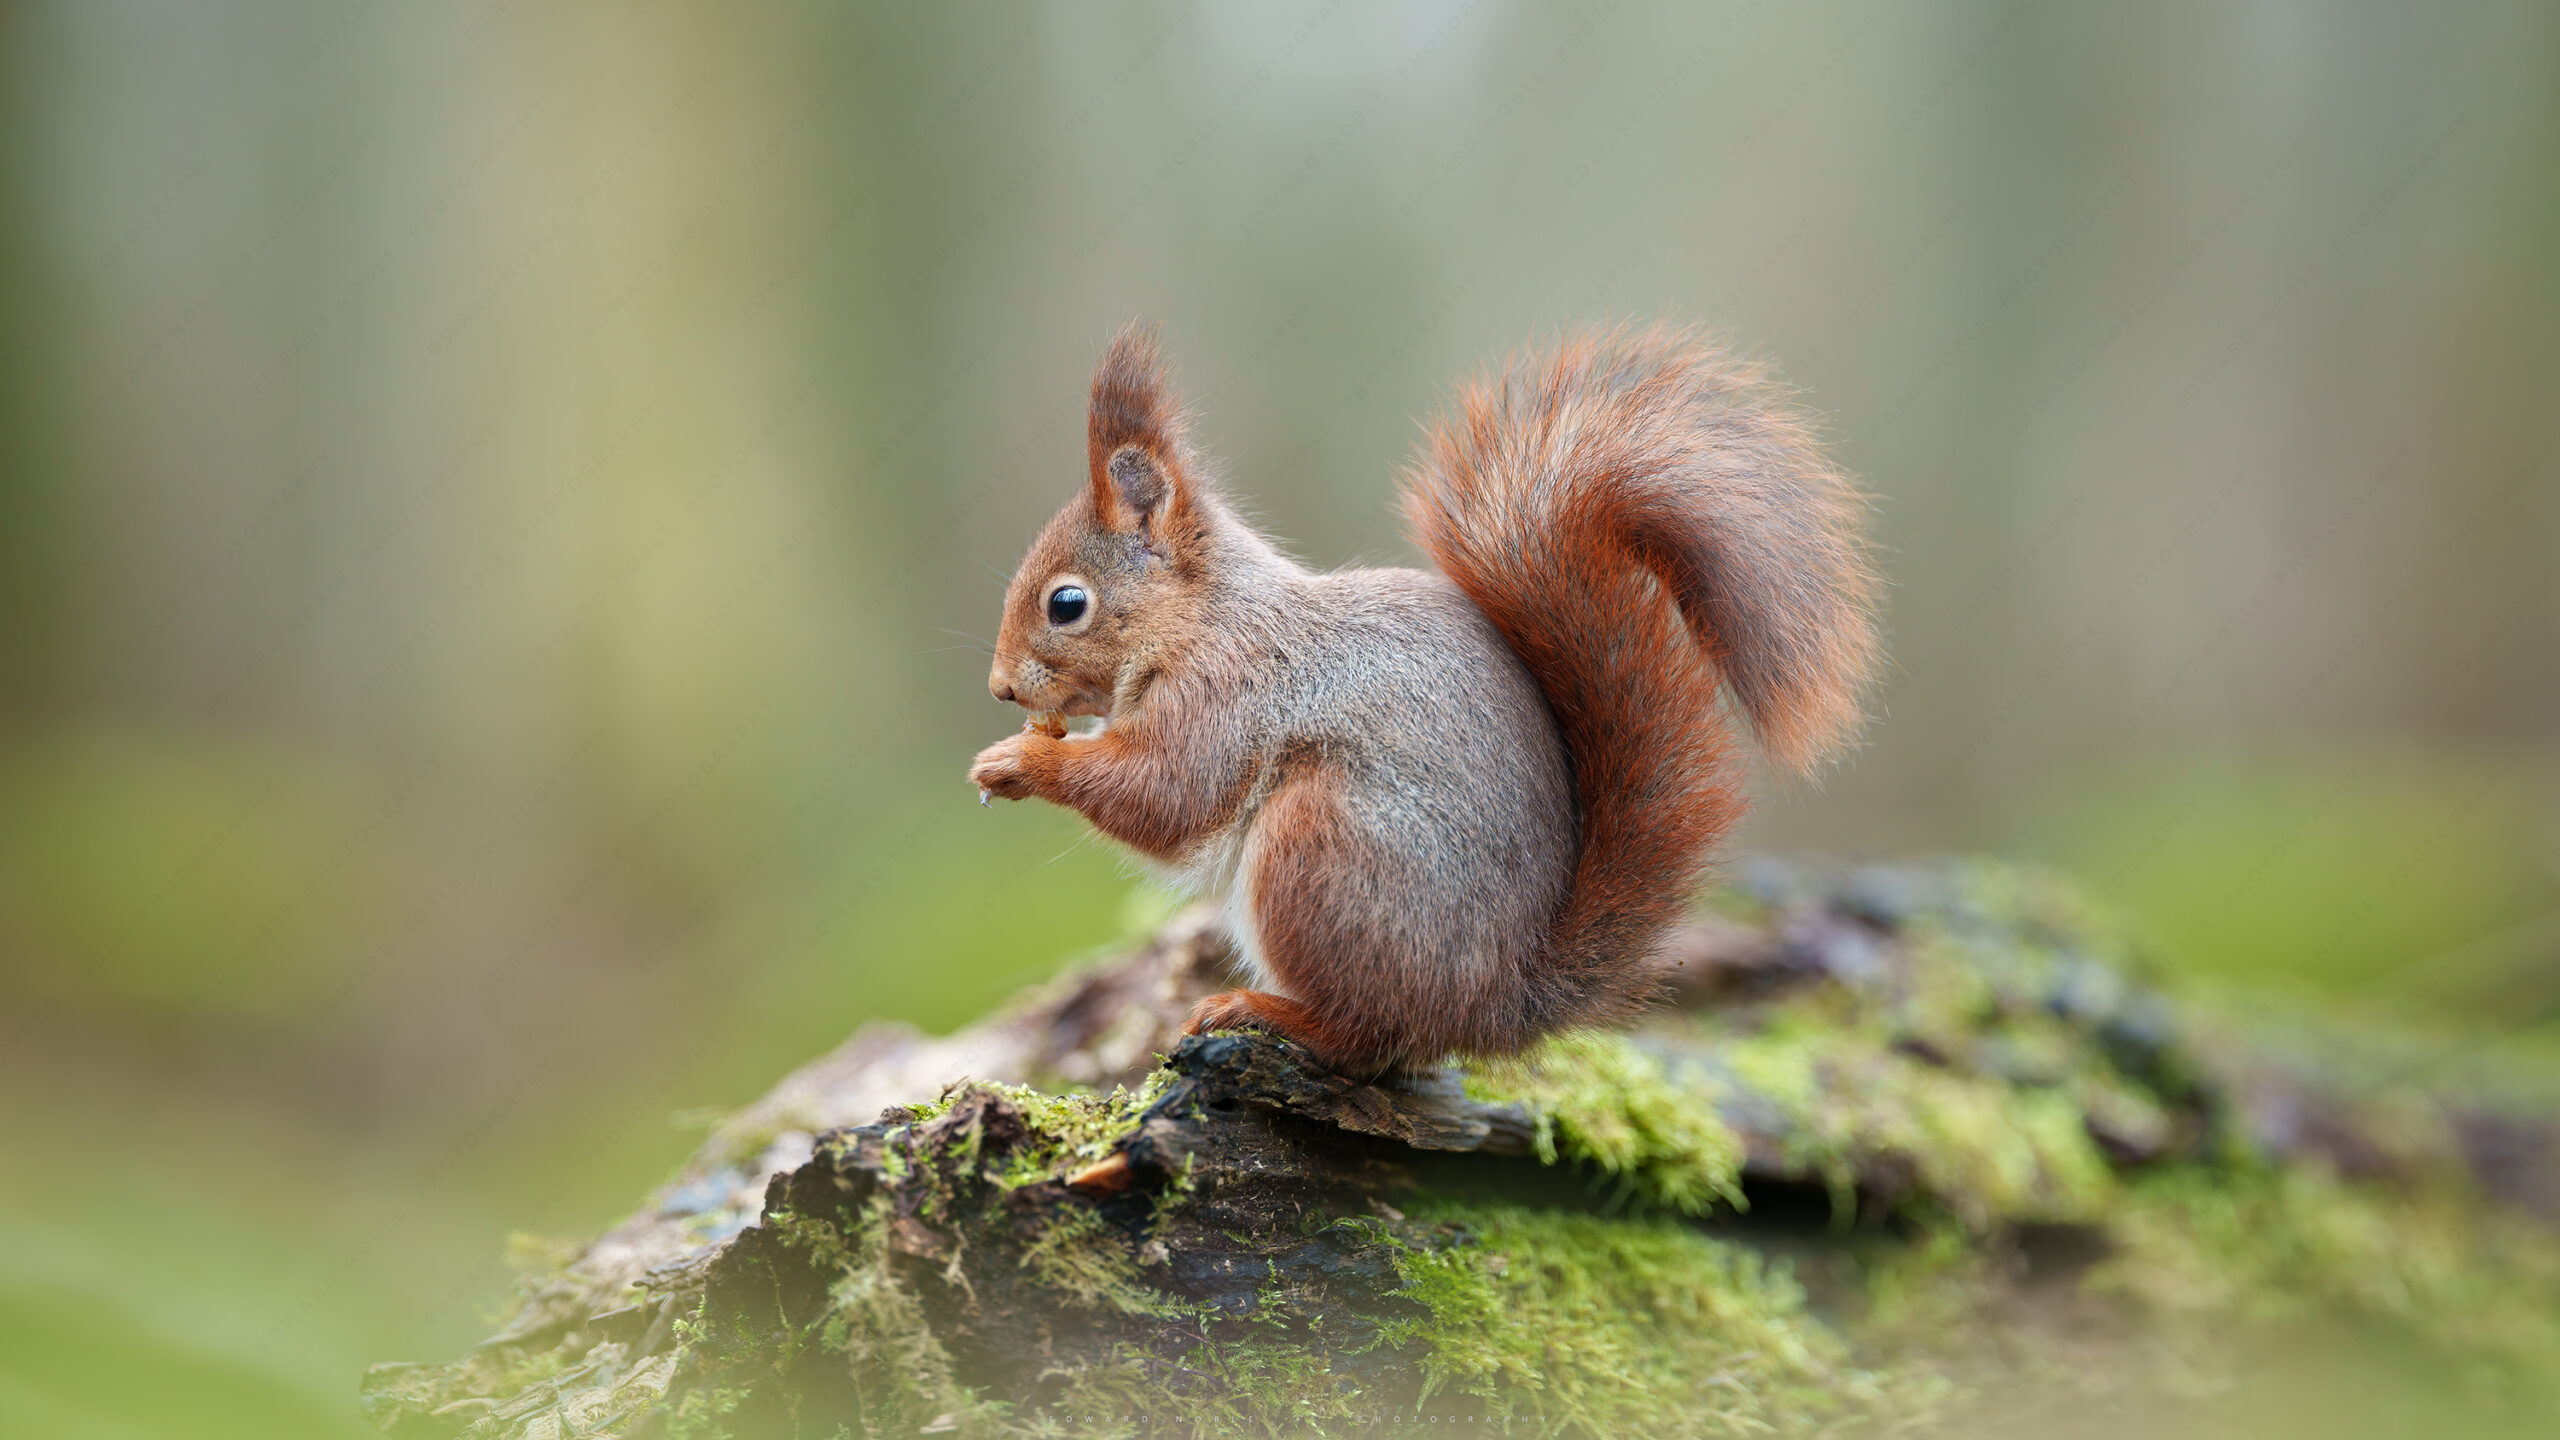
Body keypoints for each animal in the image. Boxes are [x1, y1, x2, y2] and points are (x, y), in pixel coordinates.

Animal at [968, 321, 1880, 1075]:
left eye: (1067, 603)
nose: (1000, 687)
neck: (1202, 620)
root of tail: (1496, 1006)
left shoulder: (1230, 693)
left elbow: (1166, 794)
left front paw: (1022, 761)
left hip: (1323, 842)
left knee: (1370, 1035)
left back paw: (1264, 1010)